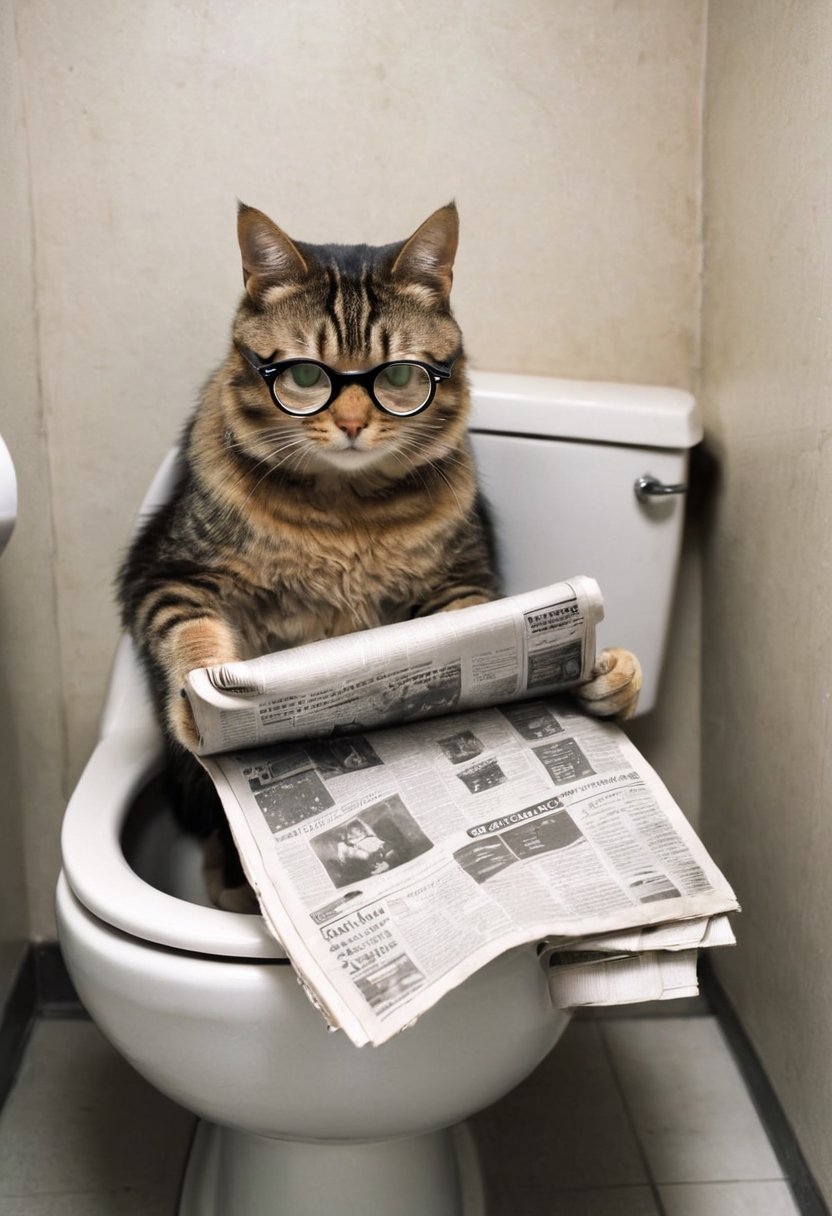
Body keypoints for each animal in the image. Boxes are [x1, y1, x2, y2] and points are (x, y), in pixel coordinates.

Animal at [116, 204, 642, 914]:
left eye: (397, 376)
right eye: (305, 375)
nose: (352, 425)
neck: (346, 512)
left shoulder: (458, 584)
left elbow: (473, 623)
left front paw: (606, 678)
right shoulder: (168, 574)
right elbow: (193, 639)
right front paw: (203, 706)